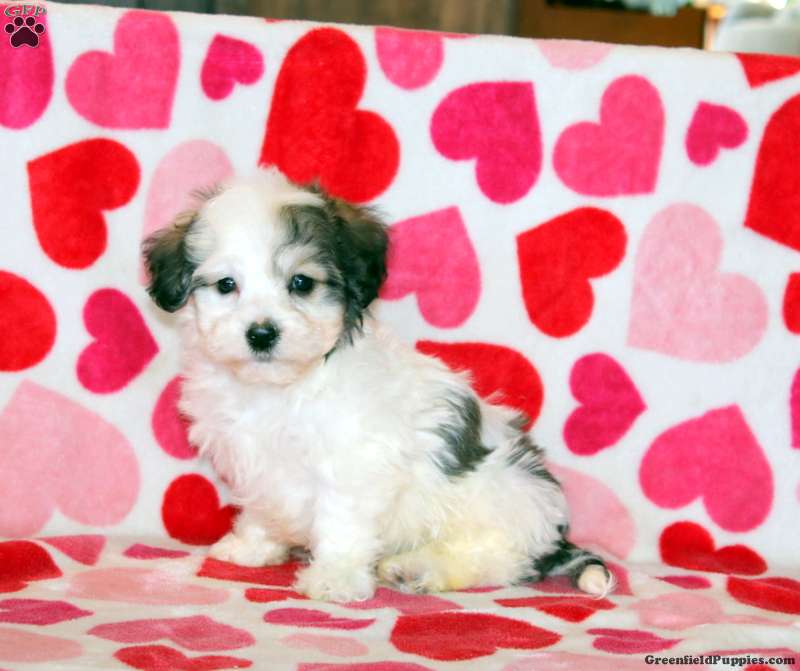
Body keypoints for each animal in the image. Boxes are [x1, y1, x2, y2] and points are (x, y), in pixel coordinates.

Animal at [143, 167, 614, 602]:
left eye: (301, 283)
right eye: (227, 285)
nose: (261, 333)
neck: (282, 387)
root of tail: (554, 532)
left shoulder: (353, 460)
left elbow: (341, 520)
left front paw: (334, 578)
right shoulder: (254, 461)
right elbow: (262, 504)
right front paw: (252, 546)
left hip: (502, 500)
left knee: (495, 557)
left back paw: (419, 568)